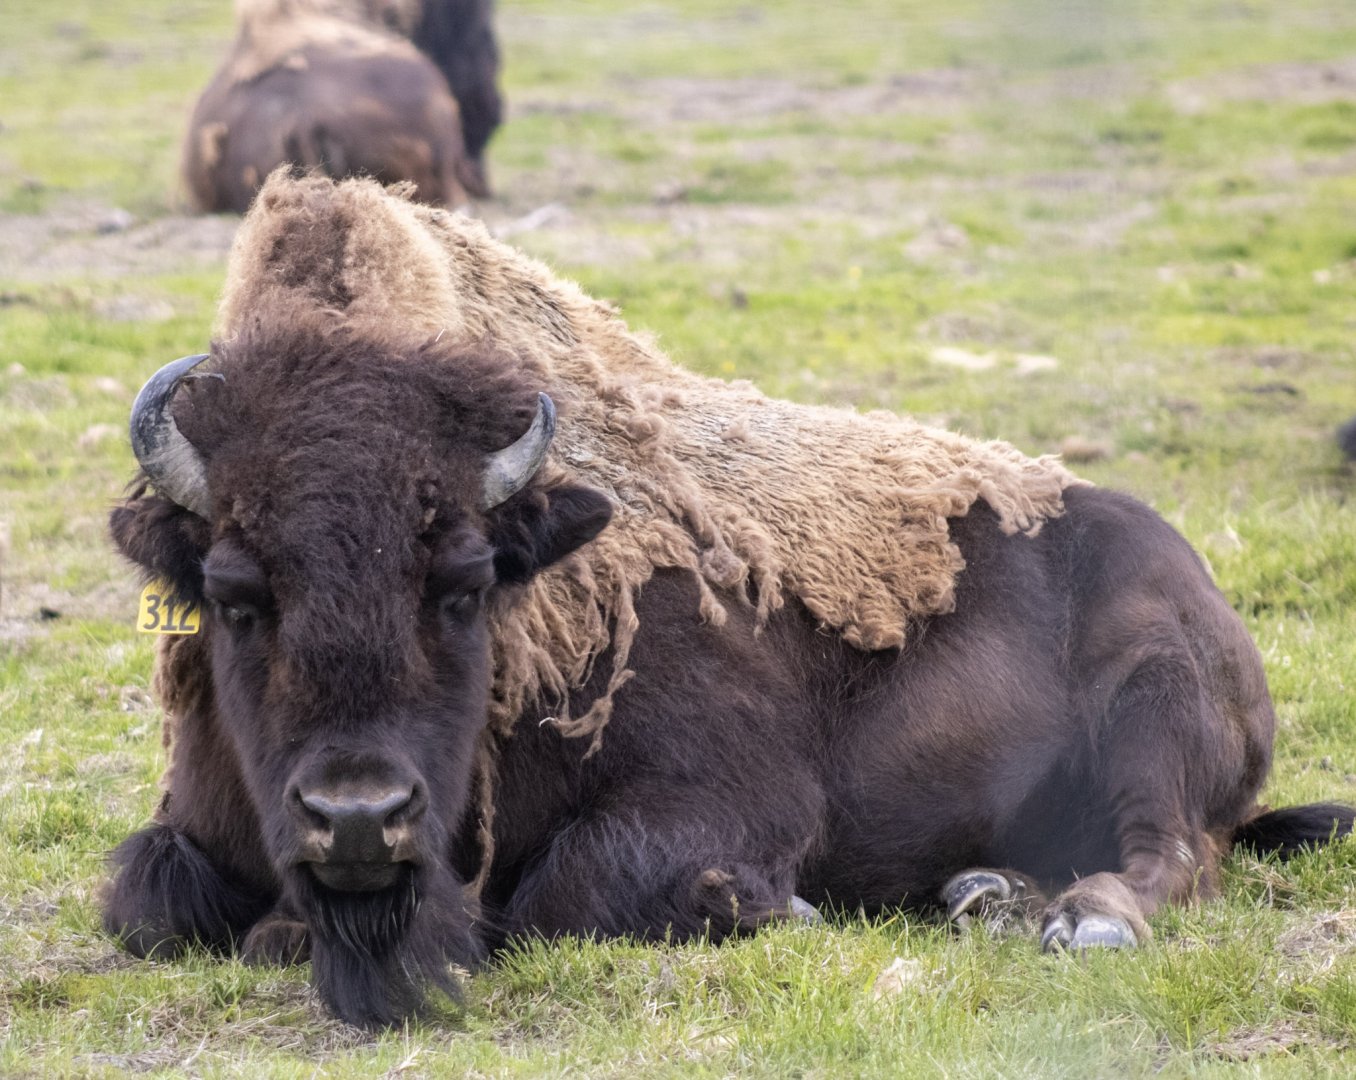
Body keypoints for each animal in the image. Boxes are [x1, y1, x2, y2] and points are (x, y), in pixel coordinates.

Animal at [104, 172, 1354, 1027]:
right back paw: (984, 892)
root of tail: (1194, 581)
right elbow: (146, 903)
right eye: (234, 592)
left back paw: (1077, 920)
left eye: (464, 585)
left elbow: (569, 888)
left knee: (1175, 852)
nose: (359, 817)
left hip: (1156, 705)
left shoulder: (730, 796)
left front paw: (771, 910)